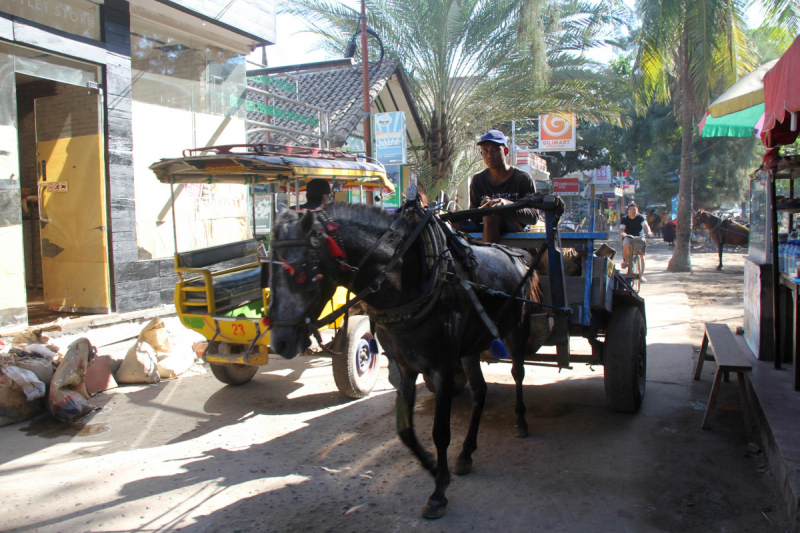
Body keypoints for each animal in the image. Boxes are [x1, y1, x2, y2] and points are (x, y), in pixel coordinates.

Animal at [268, 202, 536, 516]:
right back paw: (466, 453)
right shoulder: (404, 367)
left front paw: (438, 492)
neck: (408, 283)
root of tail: (517, 255)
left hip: (517, 330)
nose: (280, 342)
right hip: (469, 347)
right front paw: (432, 467)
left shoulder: (442, 367)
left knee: (518, 373)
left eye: (300, 272)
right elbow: (405, 431)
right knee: (479, 391)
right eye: (266, 270)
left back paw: (521, 421)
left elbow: (440, 432)